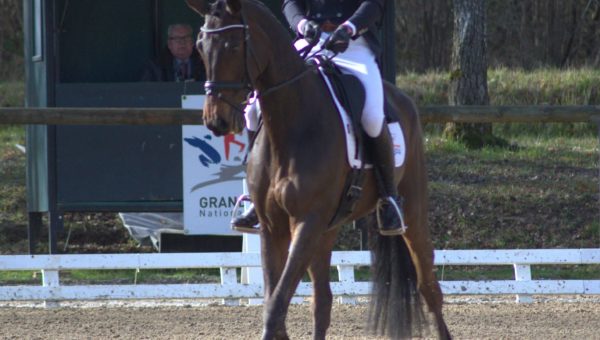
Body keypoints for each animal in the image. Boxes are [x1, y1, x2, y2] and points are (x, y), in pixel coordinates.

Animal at [186, 0, 450, 338]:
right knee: (323, 301)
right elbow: (275, 302)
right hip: (328, 228)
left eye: (233, 45)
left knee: (429, 288)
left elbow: (276, 306)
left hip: (411, 212)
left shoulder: (307, 221)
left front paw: (338, 35)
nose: (215, 120)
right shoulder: (272, 226)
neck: (291, 124)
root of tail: (402, 98)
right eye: (200, 46)